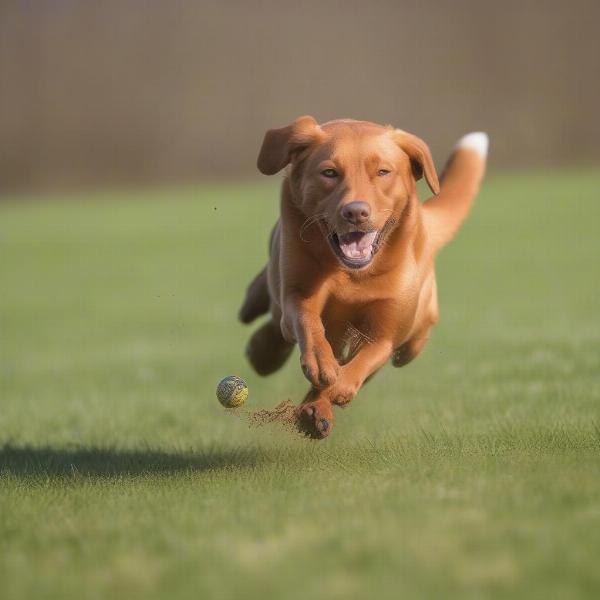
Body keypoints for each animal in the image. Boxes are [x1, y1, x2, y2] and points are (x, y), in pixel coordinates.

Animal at [239, 116, 488, 436]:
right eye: (329, 172)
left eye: (383, 172)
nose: (356, 212)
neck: (352, 275)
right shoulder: (298, 291)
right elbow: (307, 321)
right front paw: (319, 361)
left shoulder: (385, 333)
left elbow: (365, 360)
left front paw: (335, 391)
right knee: (272, 316)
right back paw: (259, 338)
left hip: (414, 338)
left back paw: (315, 410)